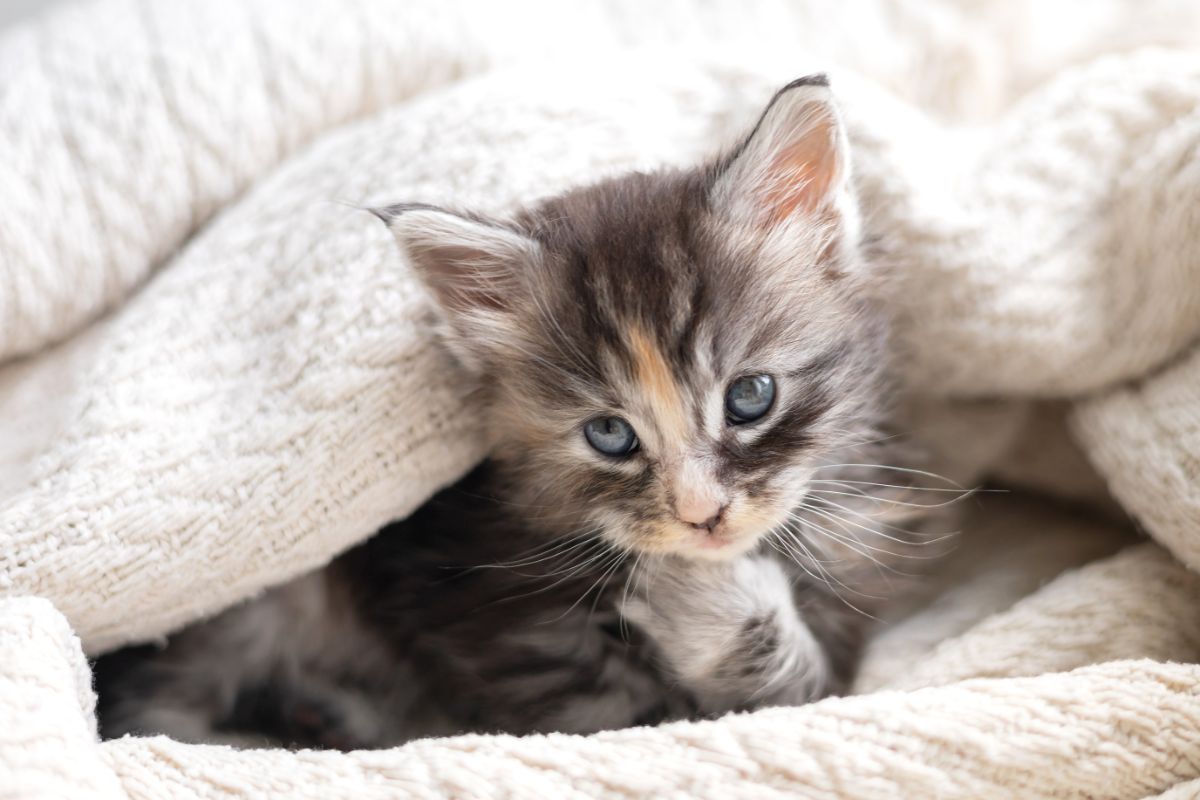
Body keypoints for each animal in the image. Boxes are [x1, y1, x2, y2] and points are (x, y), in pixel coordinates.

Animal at [93, 74, 950, 753]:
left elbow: (801, 685)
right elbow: (636, 714)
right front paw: (693, 590)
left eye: (750, 396)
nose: (700, 516)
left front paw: (702, 599)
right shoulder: (495, 635)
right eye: (609, 434)